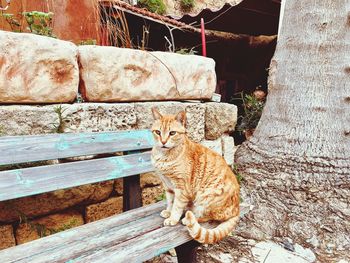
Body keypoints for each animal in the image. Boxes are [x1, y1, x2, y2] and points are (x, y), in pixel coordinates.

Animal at [150, 108, 241, 245]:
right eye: (158, 132)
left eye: (172, 133)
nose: (163, 142)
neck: (164, 156)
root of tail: (237, 210)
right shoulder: (168, 186)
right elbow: (170, 202)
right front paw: (168, 211)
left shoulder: (181, 188)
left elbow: (177, 206)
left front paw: (173, 218)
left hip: (206, 195)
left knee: (207, 217)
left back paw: (187, 218)